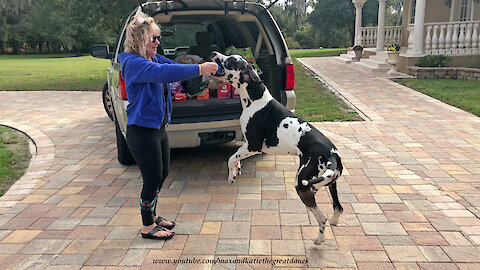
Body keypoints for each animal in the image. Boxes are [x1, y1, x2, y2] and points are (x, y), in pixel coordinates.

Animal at [212, 51, 344, 245]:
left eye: (230, 60)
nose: (214, 53)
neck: (254, 99)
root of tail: (333, 156)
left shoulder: (253, 146)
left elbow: (230, 158)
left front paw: (230, 175)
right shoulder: (247, 145)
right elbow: (235, 157)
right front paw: (236, 170)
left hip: (303, 185)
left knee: (322, 218)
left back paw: (319, 239)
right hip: (331, 184)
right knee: (338, 207)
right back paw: (334, 222)